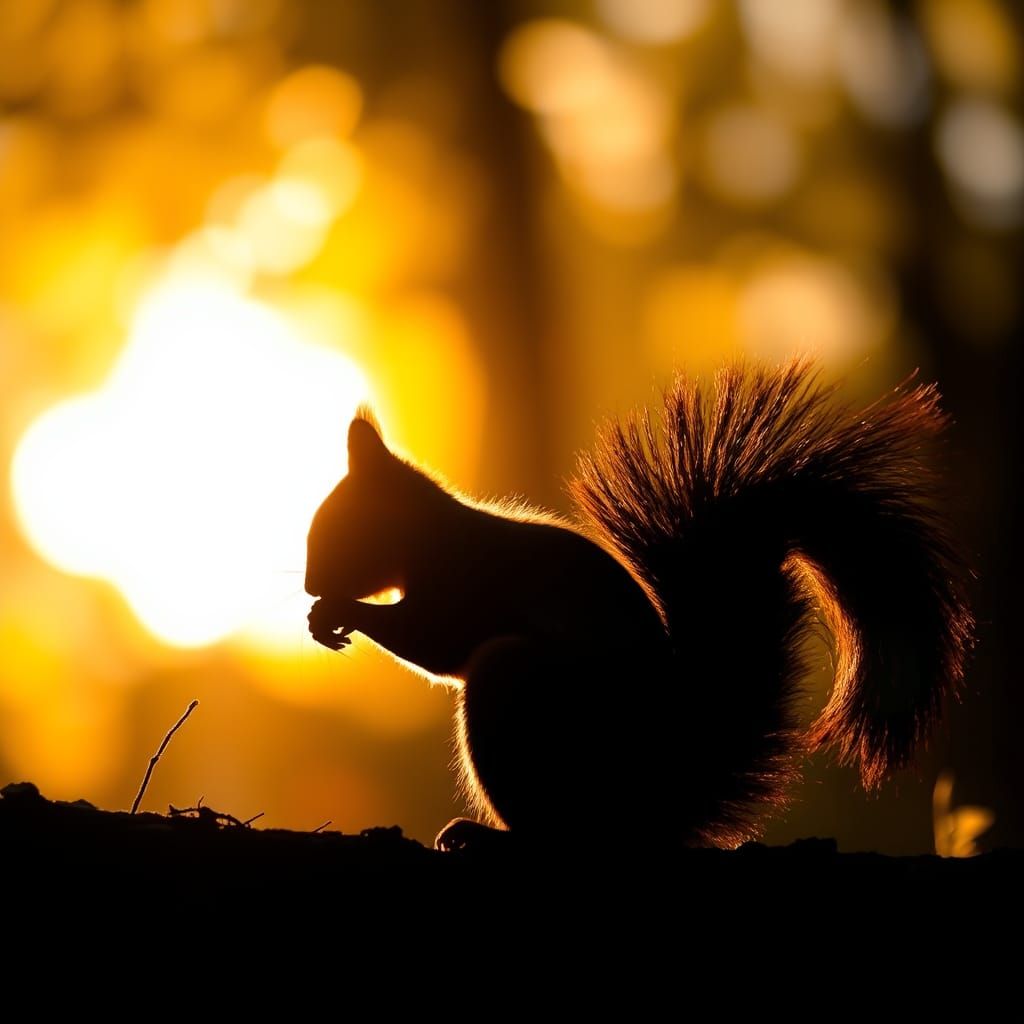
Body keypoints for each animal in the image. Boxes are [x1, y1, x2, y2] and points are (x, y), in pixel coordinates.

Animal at [305, 362, 974, 851]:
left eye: (339, 529)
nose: (310, 583)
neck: (428, 534)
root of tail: (660, 794)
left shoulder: (459, 584)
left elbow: (434, 641)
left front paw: (341, 612)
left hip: (525, 696)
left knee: (565, 833)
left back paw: (493, 837)